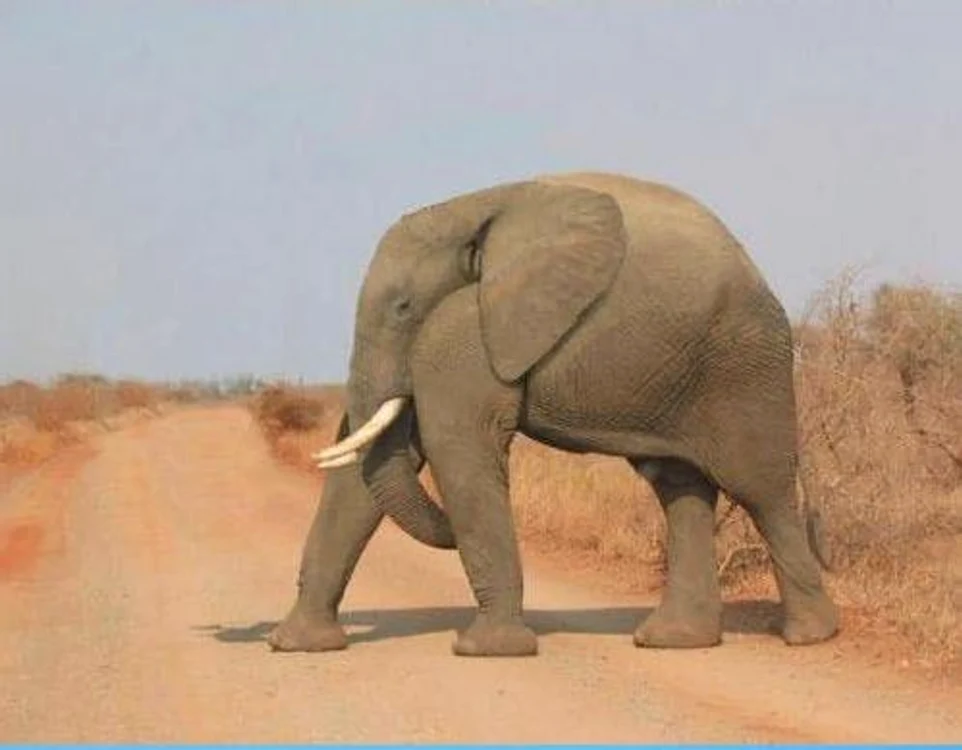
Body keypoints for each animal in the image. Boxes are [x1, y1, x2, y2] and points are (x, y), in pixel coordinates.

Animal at [268, 171, 839, 657]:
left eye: (404, 306)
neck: (469, 210)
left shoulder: (468, 328)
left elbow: (458, 447)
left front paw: (487, 651)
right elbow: (376, 465)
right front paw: (296, 646)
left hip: (743, 364)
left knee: (761, 490)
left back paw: (810, 637)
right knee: (680, 489)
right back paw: (674, 641)